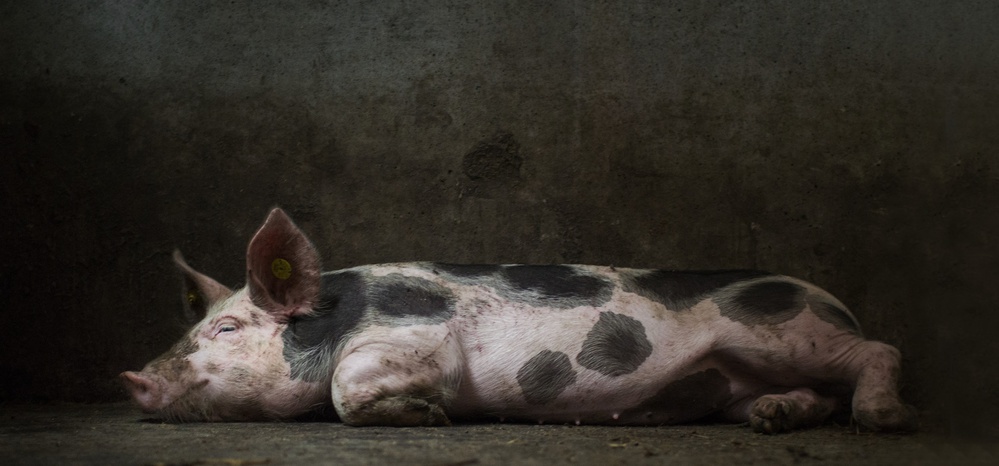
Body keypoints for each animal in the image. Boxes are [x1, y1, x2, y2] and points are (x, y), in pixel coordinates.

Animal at [121, 208, 918, 433]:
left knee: (877, 349)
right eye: (195, 328)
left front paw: (430, 414)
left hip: (778, 332)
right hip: (742, 374)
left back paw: (883, 419)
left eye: (227, 330)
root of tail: (835, 302)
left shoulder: (420, 337)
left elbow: (349, 388)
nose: (131, 378)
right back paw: (770, 421)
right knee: (805, 396)